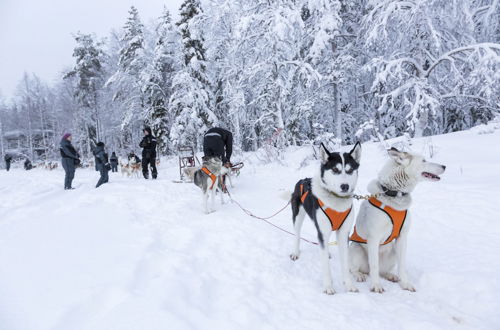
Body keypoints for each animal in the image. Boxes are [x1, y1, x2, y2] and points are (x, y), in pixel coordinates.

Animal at [292, 142, 362, 294]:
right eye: (335, 169)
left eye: (349, 170)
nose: (345, 186)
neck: (336, 202)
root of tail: (302, 180)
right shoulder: (322, 231)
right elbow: (325, 266)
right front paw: (328, 286)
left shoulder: (343, 233)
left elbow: (345, 262)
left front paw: (349, 285)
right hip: (298, 217)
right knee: (297, 234)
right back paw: (295, 252)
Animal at [350, 148, 448, 292]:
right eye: (424, 160)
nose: (444, 166)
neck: (394, 193)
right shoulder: (373, 239)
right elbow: (374, 266)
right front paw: (376, 285)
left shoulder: (402, 237)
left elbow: (402, 267)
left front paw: (405, 283)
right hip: (356, 250)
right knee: (357, 269)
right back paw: (359, 275)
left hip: (393, 252)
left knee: (382, 271)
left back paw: (391, 276)